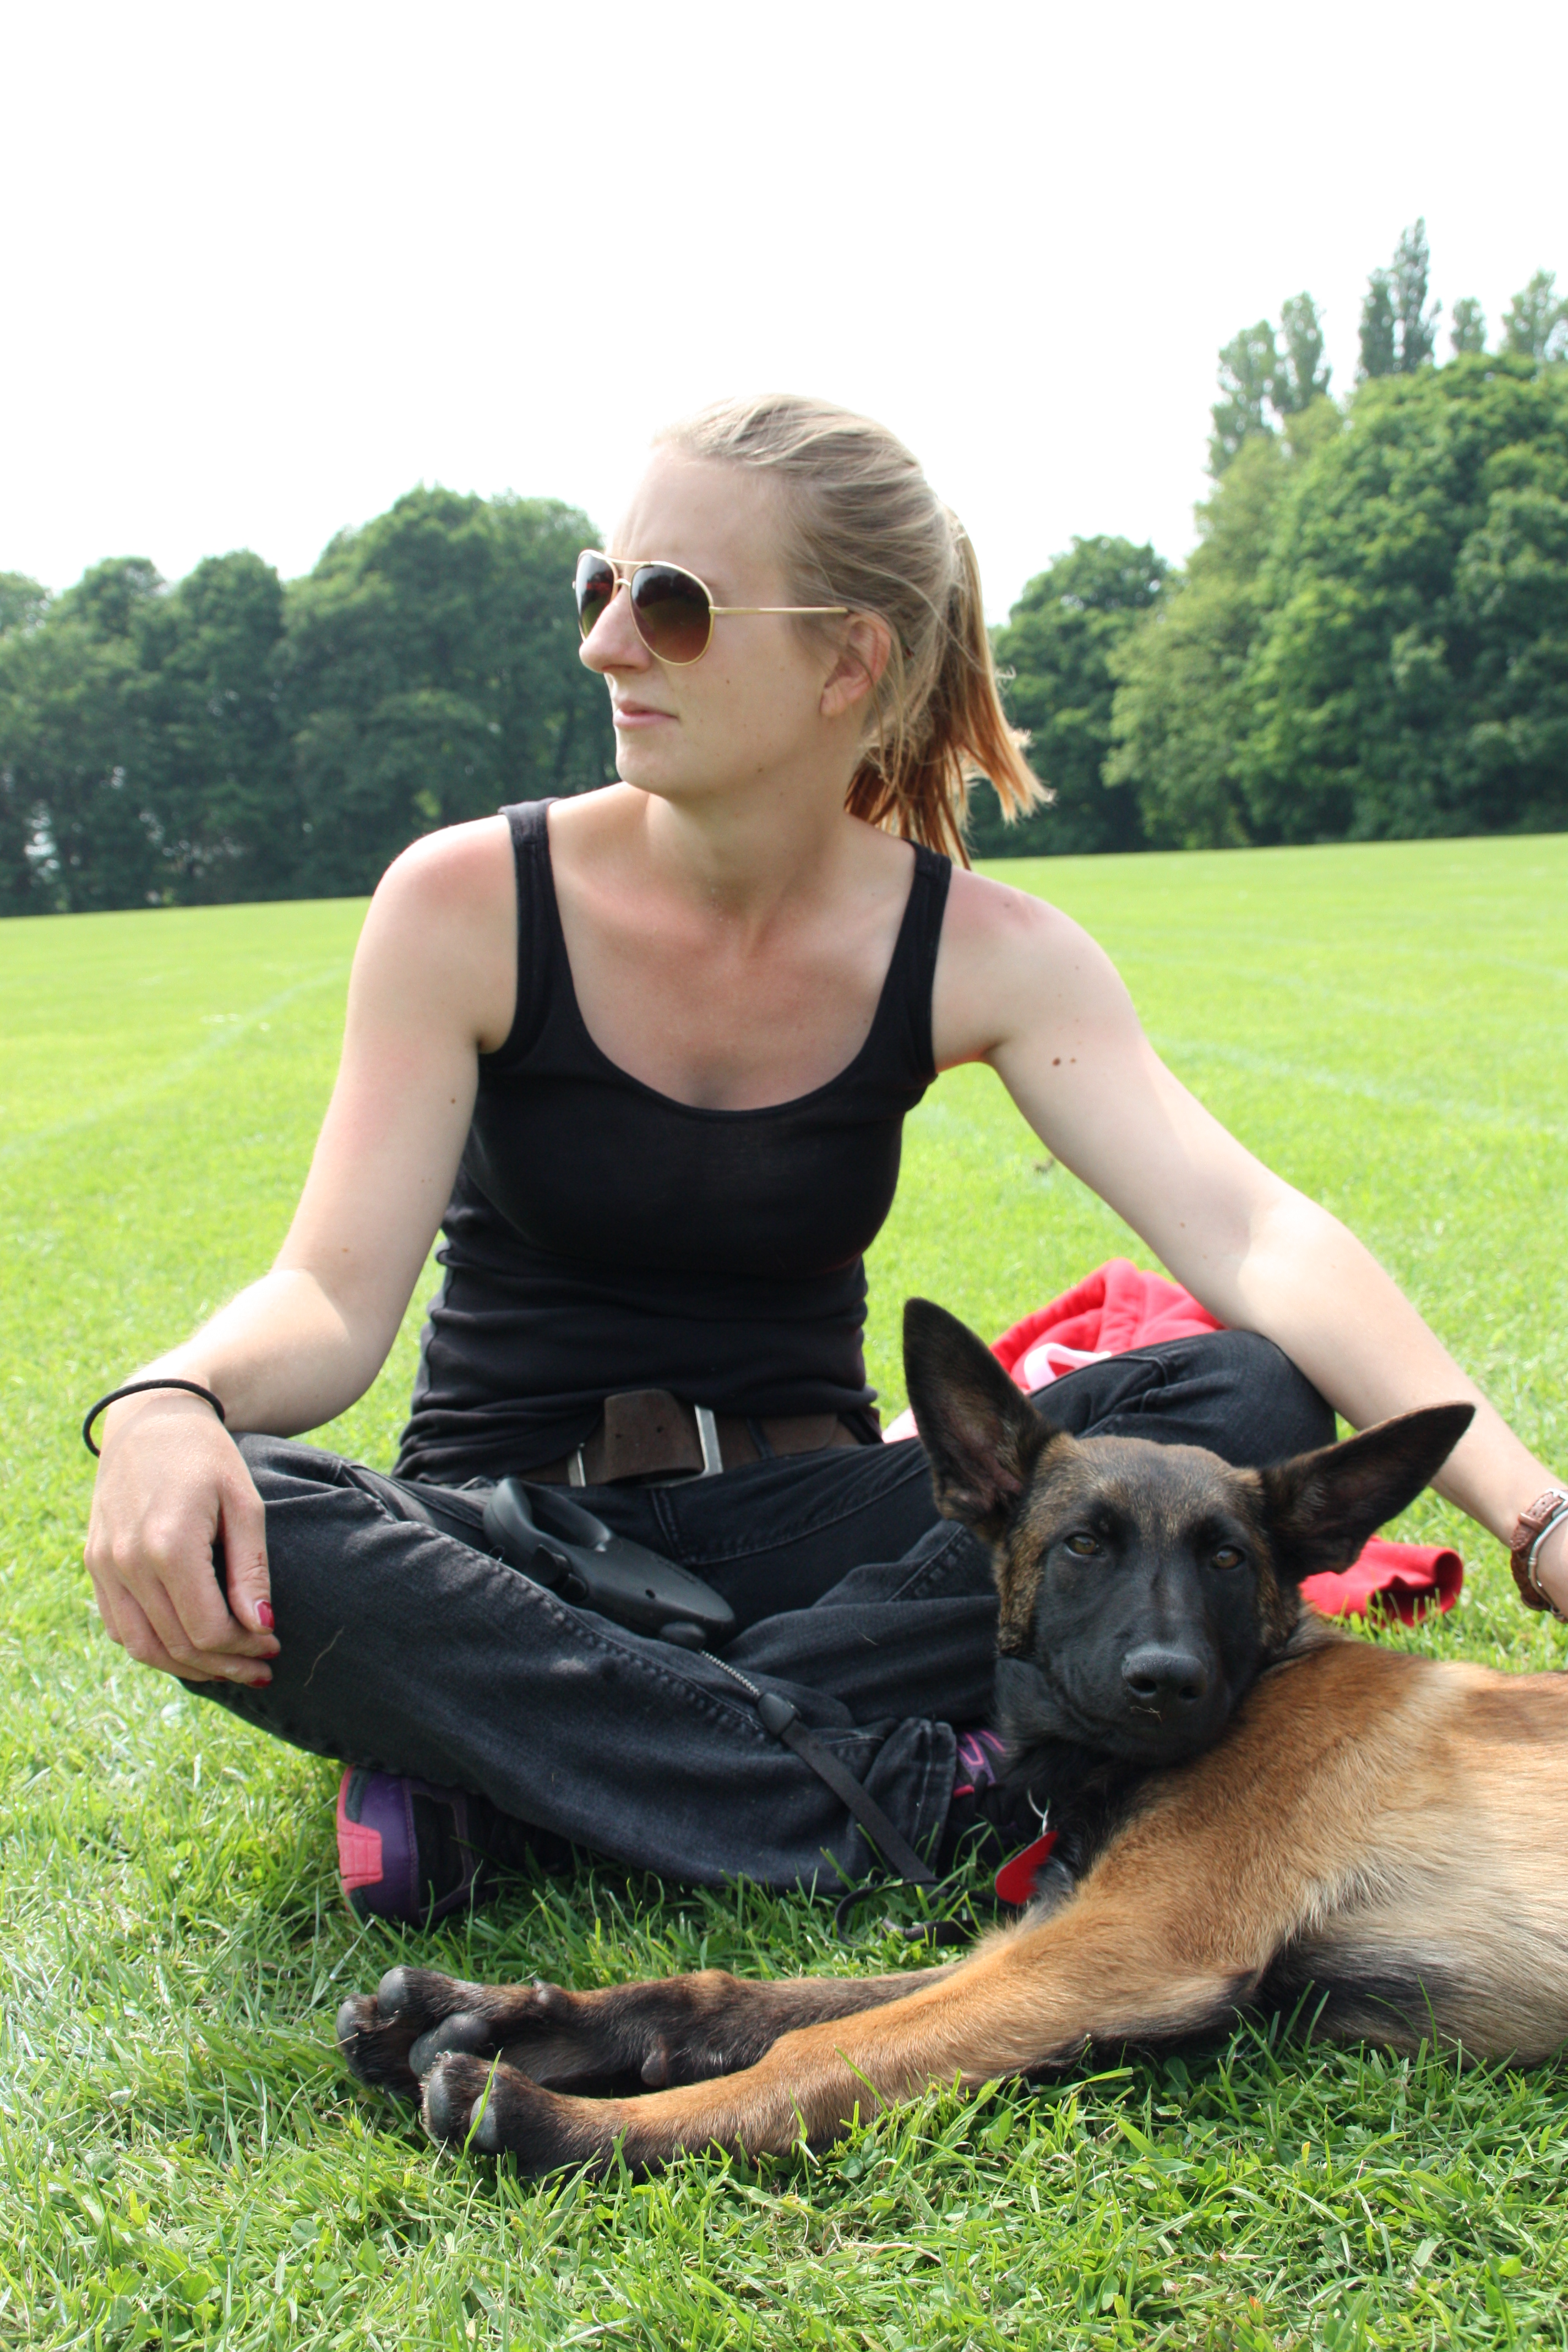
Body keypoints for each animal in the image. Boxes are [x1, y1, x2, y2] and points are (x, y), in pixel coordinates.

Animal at [337, 1298, 1568, 2173]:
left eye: (1225, 1557)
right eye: (1083, 1544)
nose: (1164, 1683)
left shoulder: (1115, 1951)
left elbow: (806, 2055)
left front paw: (551, 2117)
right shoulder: (1049, 1938)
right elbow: (737, 2000)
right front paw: (503, 2020)